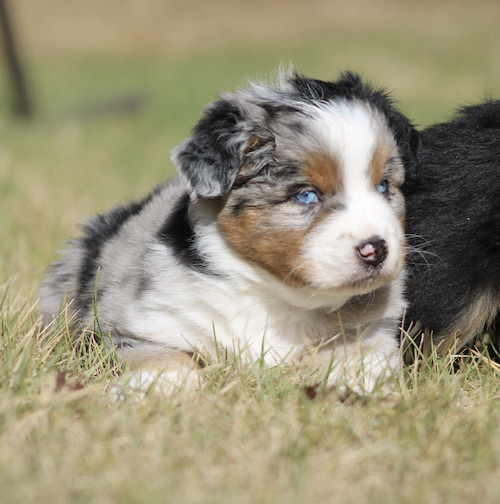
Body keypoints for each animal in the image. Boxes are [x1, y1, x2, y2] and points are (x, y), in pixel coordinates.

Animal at [39, 71, 419, 395]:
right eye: (306, 195)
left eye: (384, 186)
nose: (376, 250)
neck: (274, 295)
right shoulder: (136, 321)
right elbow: (165, 358)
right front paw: (155, 390)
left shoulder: (369, 331)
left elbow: (355, 363)